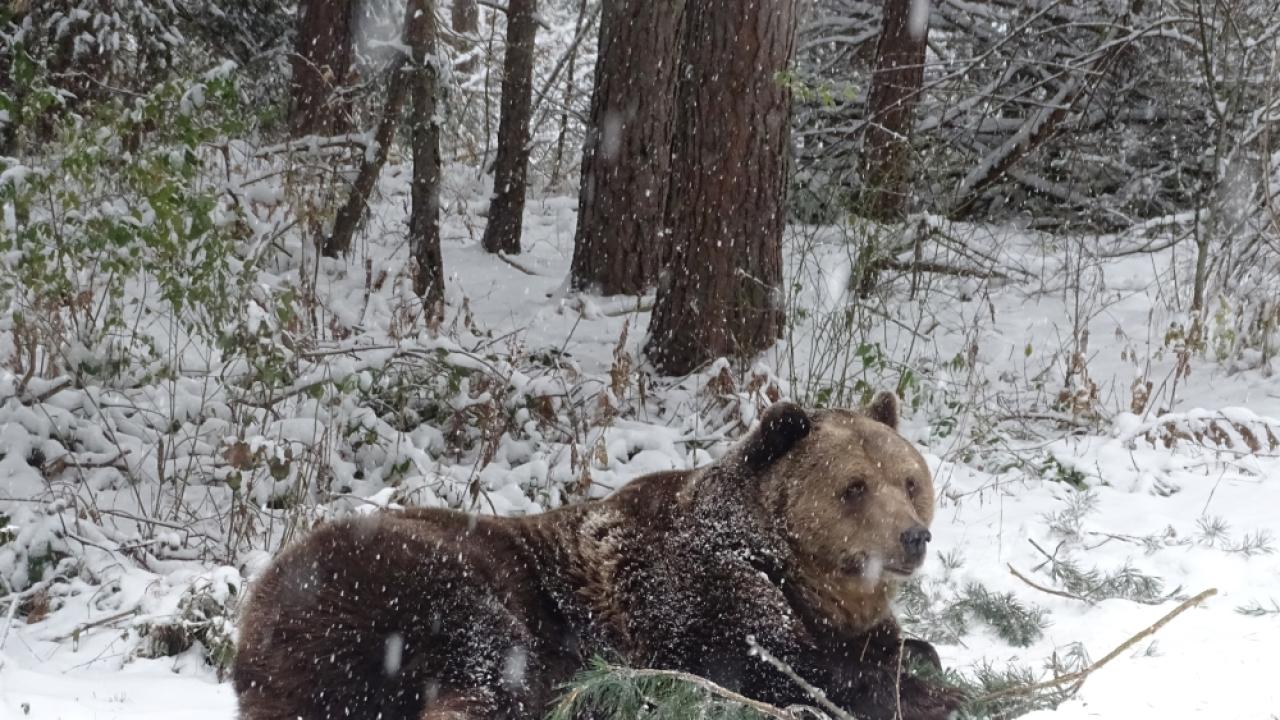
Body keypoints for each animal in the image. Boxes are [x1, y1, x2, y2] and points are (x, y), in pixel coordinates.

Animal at [235, 394, 962, 717]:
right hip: (404, 577)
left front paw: (922, 659)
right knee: (486, 655)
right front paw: (921, 687)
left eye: (909, 481)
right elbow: (774, 664)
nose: (912, 537)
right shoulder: (692, 594)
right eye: (854, 487)